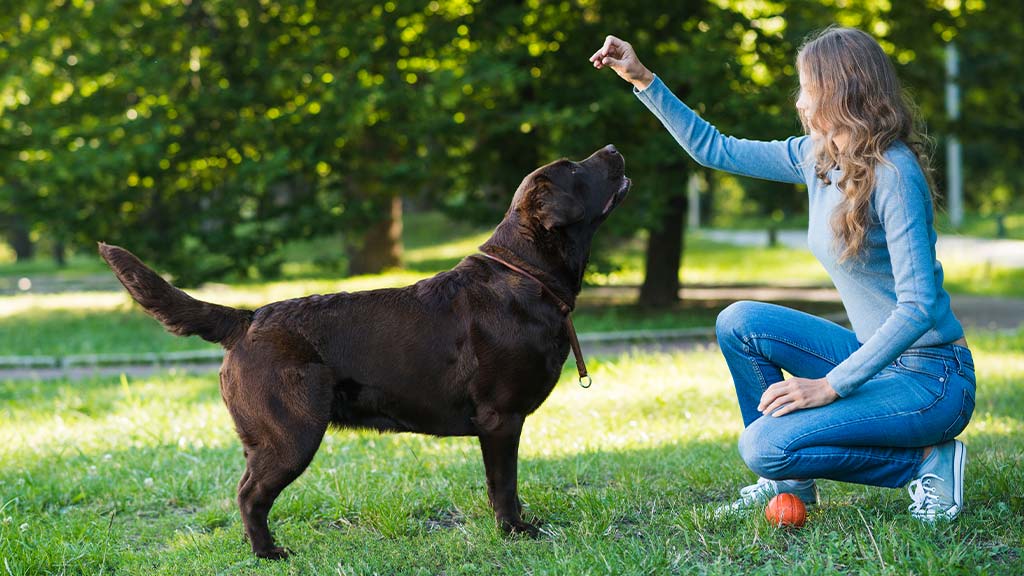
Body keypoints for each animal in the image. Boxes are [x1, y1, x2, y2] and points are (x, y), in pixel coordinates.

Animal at [101, 143, 630, 557]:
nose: (611, 148)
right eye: (574, 168)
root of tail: (247, 318)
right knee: (249, 496)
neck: (525, 274)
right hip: (290, 434)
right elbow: (504, 485)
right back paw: (269, 553)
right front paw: (515, 532)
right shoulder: (500, 418)